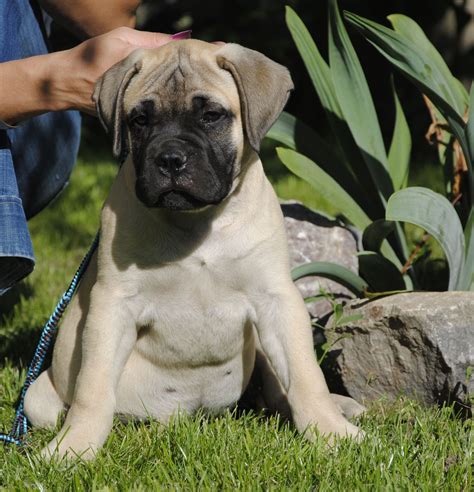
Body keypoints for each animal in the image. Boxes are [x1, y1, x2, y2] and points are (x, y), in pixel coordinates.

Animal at [24, 40, 362, 460]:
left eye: (212, 116)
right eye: (139, 120)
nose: (170, 159)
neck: (198, 224)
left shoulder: (276, 299)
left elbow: (304, 375)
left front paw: (332, 432)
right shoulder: (113, 303)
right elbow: (94, 386)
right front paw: (74, 447)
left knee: (276, 391)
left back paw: (341, 406)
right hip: (37, 398)